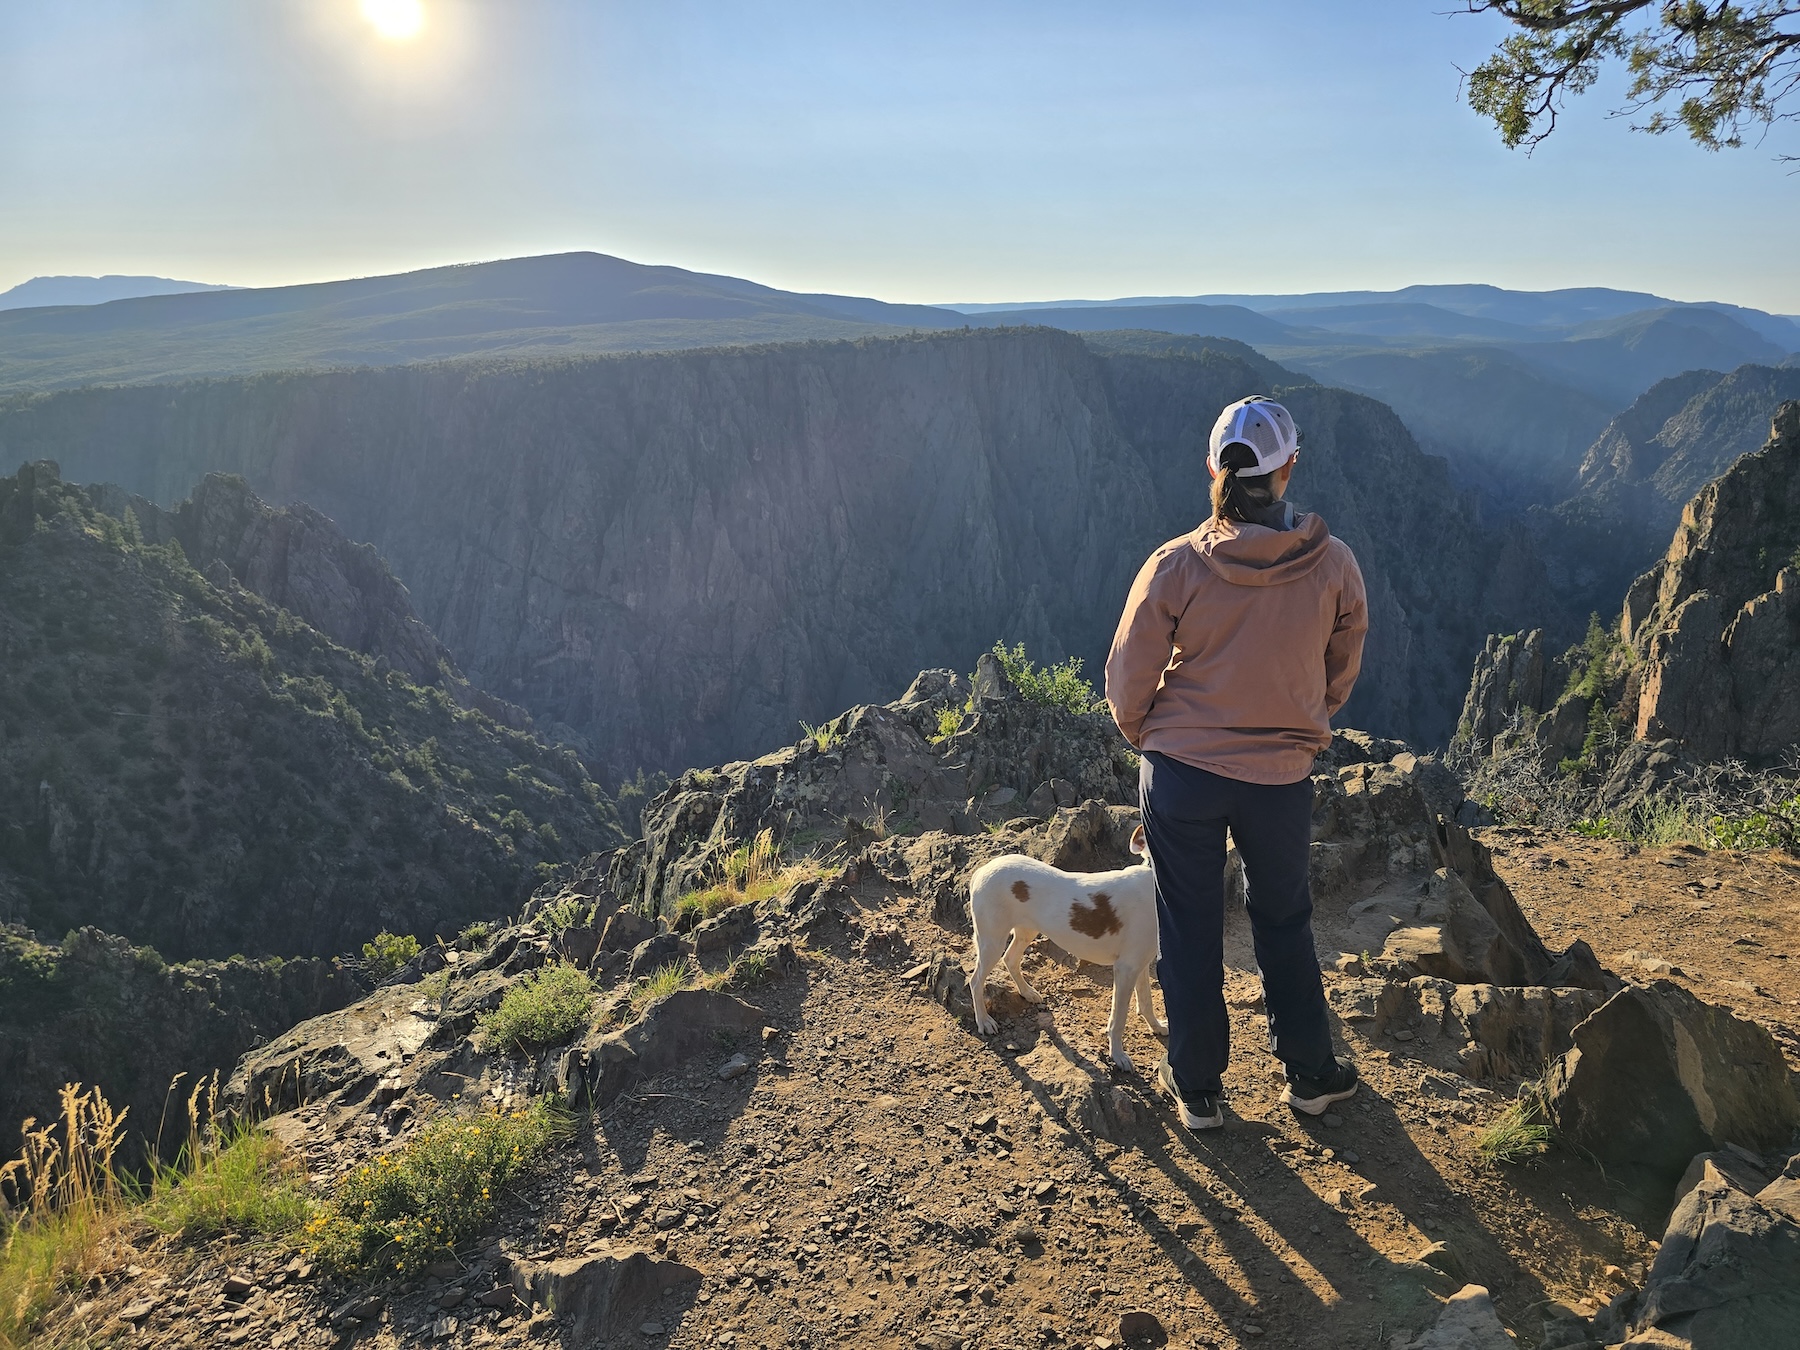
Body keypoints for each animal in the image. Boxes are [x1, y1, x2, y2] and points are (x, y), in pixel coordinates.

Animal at [972, 820, 1166, 1072]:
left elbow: (1146, 1002)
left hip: (1026, 931)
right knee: (976, 981)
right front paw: (1118, 1055)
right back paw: (984, 1021)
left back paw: (1028, 992)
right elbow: (1118, 1019)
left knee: (1010, 959)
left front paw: (1156, 1026)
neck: (1154, 883)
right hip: (991, 941)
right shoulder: (1126, 968)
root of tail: (983, 870)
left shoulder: (1140, 963)